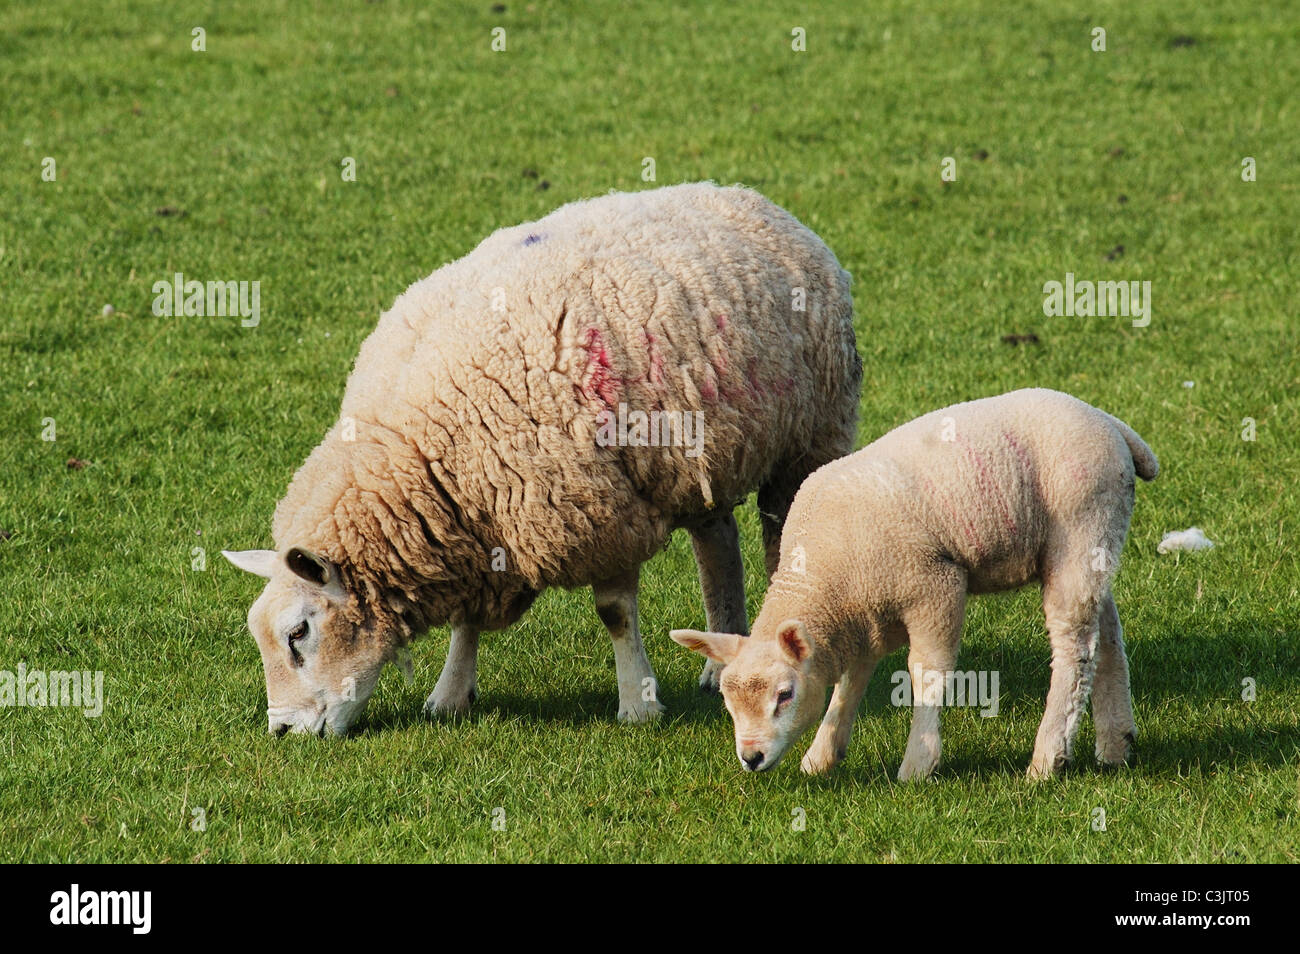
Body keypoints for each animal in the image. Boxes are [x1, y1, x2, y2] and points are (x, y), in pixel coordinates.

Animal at [223, 182, 862, 736]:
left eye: (299, 633)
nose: (282, 731)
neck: (417, 451)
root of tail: (754, 200)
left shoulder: (601, 510)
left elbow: (615, 613)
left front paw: (637, 704)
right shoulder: (475, 525)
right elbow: (466, 621)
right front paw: (449, 695)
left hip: (809, 438)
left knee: (783, 543)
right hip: (702, 455)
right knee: (717, 542)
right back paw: (719, 662)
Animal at [672, 388, 1158, 780]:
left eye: (784, 695)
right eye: (727, 702)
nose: (750, 758)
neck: (823, 577)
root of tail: (1110, 424)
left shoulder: (934, 585)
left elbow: (927, 673)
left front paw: (919, 764)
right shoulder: (861, 618)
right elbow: (849, 683)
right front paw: (822, 755)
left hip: (1080, 529)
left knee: (1075, 648)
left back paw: (1047, 759)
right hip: (1094, 546)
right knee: (1106, 633)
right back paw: (1116, 742)